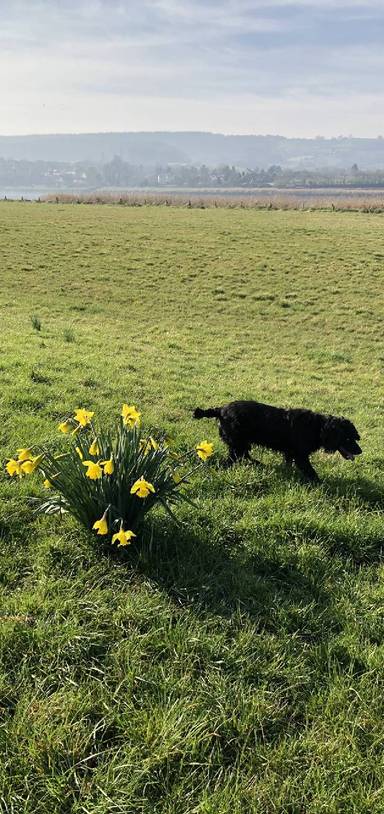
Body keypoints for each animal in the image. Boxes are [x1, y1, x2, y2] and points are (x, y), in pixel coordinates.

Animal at [194, 400, 362, 482]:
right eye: (348, 438)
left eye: (354, 438)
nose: (360, 451)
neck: (317, 427)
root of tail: (221, 410)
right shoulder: (300, 456)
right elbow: (311, 471)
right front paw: (321, 484)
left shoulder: (290, 453)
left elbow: (288, 465)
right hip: (238, 442)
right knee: (232, 459)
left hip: (241, 443)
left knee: (243, 456)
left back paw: (259, 464)